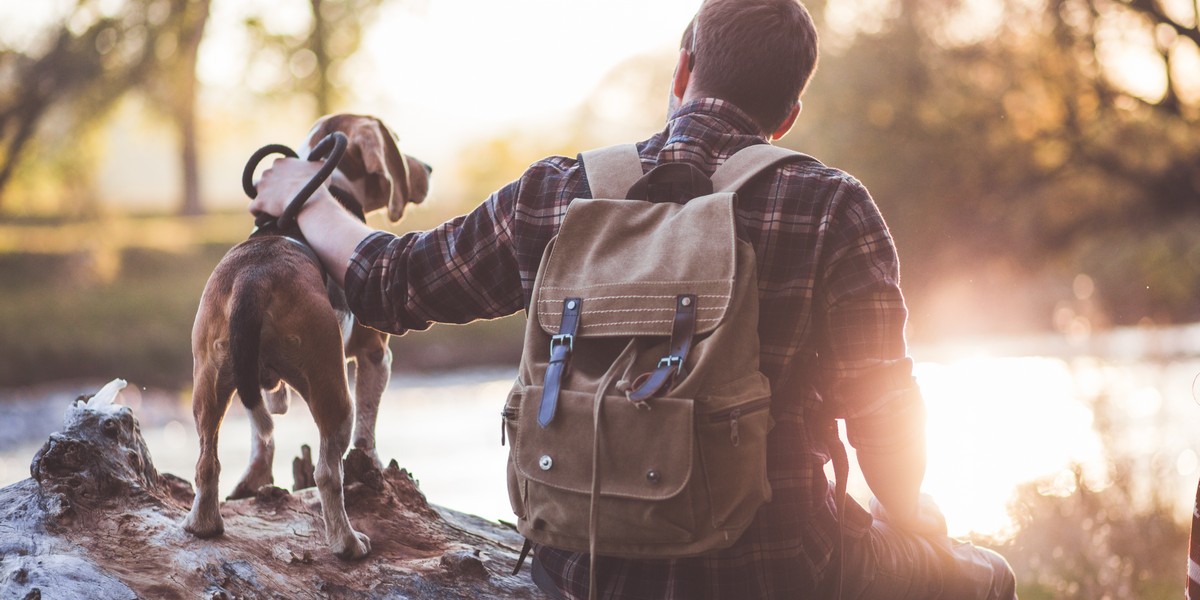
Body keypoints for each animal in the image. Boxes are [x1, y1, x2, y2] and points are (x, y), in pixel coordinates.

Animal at [182, 114, 432, 559]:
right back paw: (347, 543)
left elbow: (260, 438)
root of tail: (253, 277)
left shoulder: (251, 384)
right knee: (327, 473)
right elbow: (368, 431)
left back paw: (203, 524)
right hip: (333, 392)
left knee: (206, 463)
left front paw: (255, 479)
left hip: (209, 388)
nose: (430, 170)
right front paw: (371, 463)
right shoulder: (375, 356)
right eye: (399, 142)